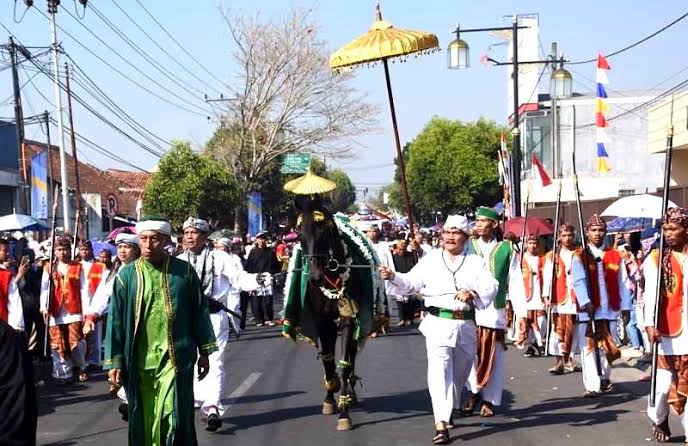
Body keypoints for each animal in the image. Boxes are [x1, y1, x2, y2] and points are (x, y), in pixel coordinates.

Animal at [296, 197, 360, 430]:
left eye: (324, 232)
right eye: (299, 234)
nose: (314, 277)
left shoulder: (348, 319)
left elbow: (343, 365)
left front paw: (344, 413)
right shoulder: (322, 321)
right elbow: (328, 361)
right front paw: (330, 399)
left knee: (351, 355)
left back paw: (350, 392)